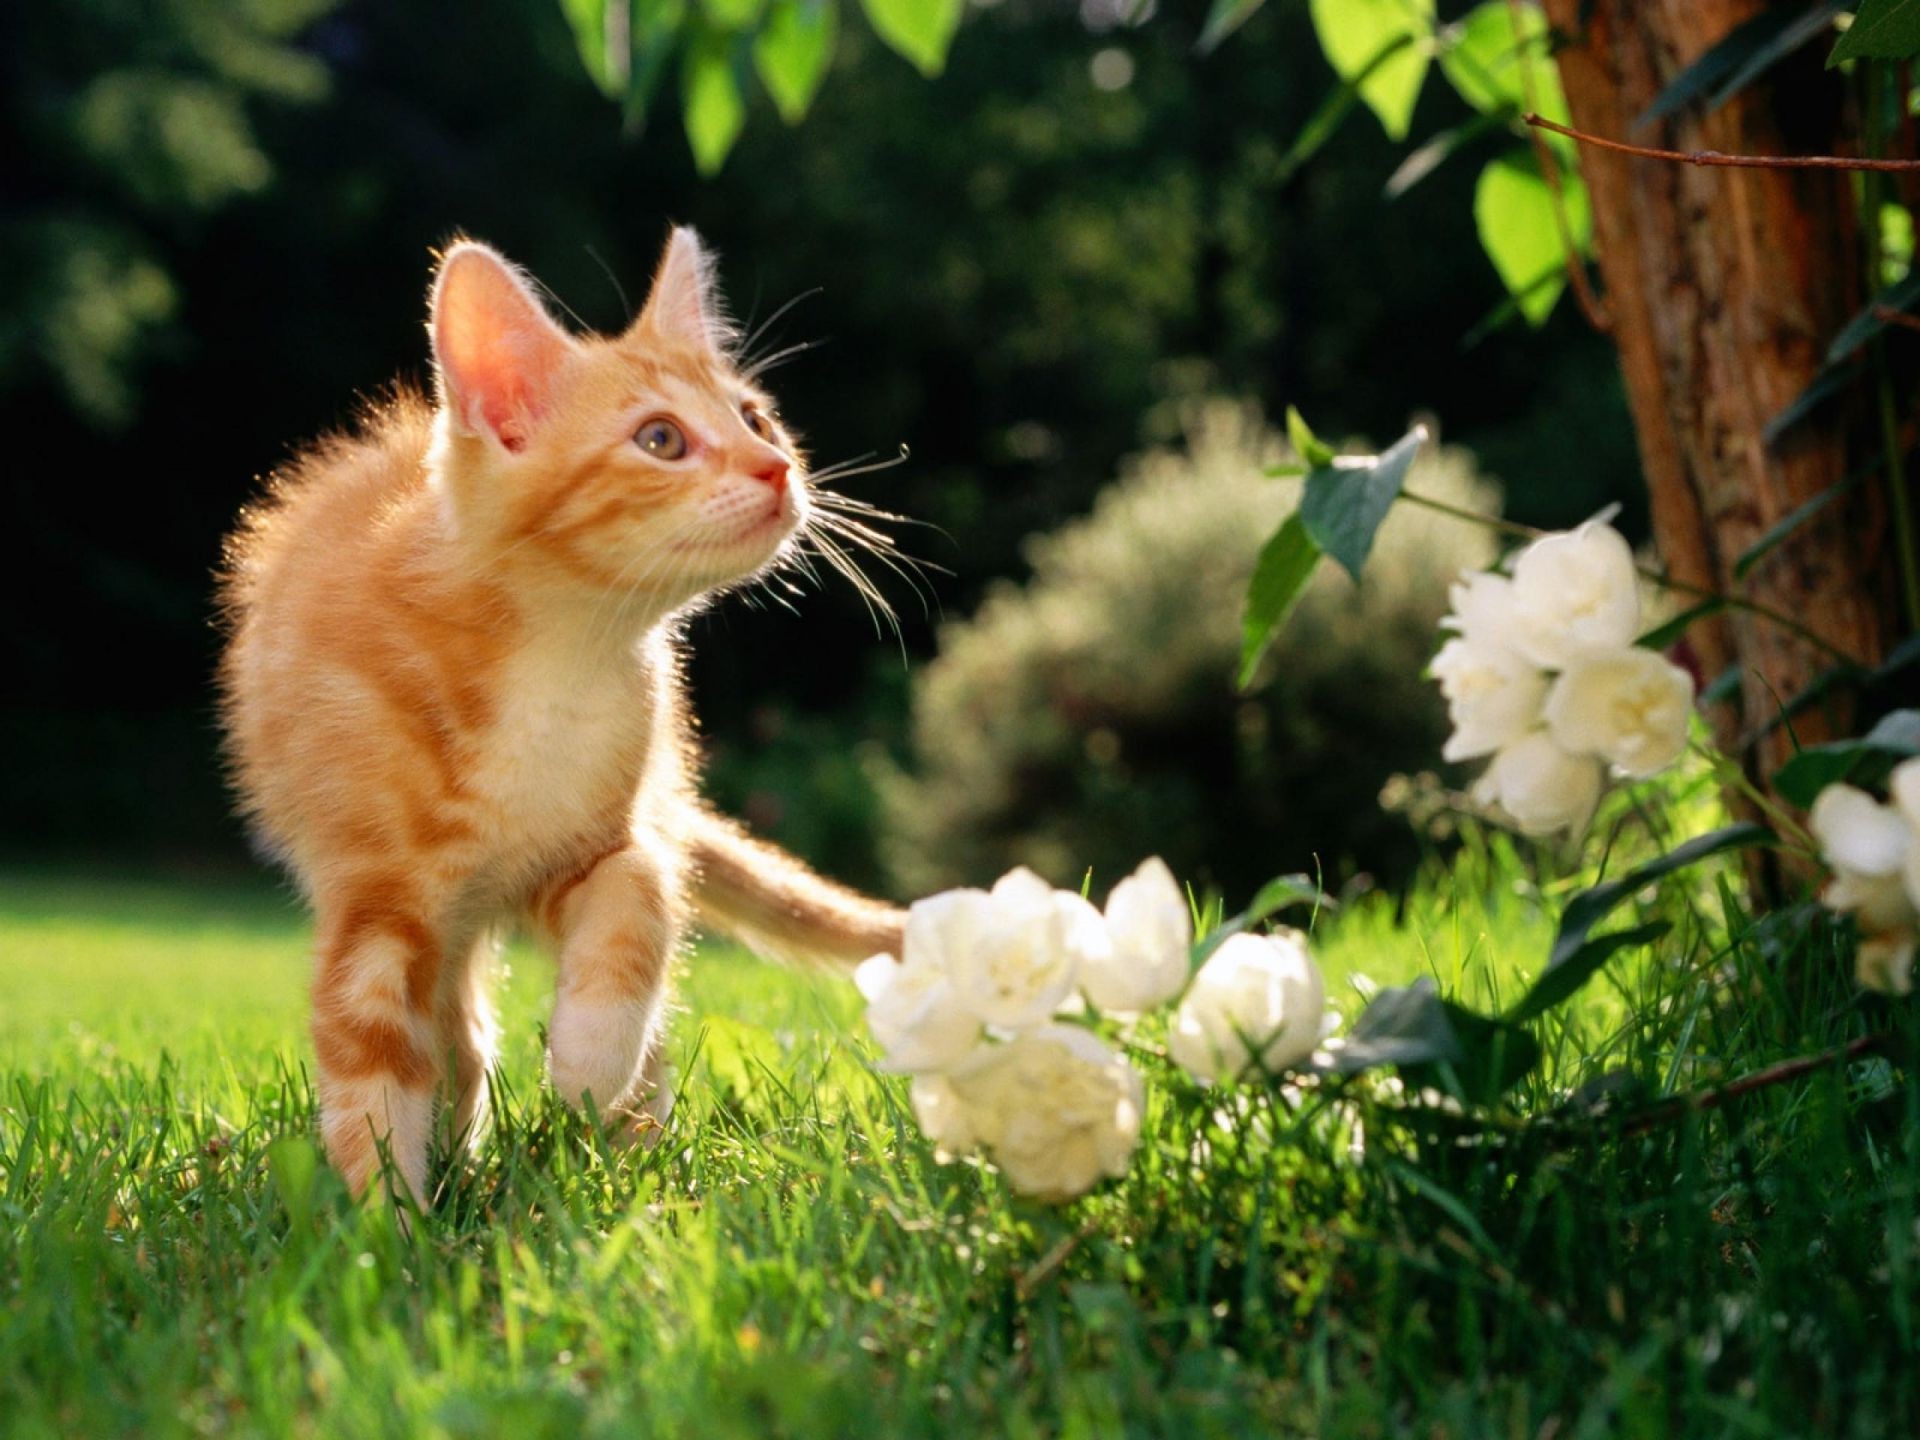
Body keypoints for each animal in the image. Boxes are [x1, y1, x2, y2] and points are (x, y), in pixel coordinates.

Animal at [220, 228, 910, 1205]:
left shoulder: (597, 836)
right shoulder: (376, 894)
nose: (777, 468)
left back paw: (634, 1145)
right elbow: (372, 1051)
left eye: (756, 420)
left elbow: (641, 893)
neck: (559, 656)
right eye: (660, 439)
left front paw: (589, 1063)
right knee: (456, 1024)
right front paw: (385, 1222)